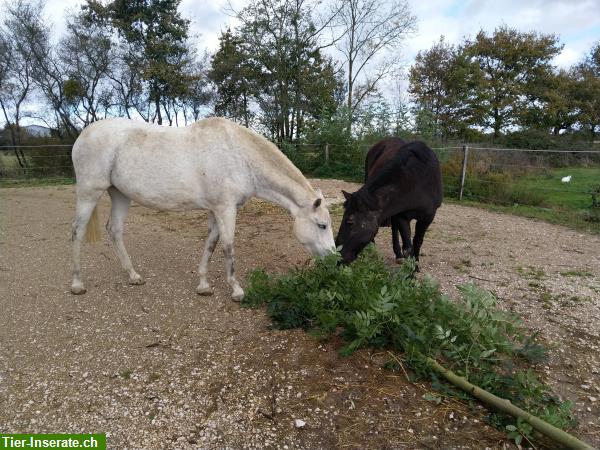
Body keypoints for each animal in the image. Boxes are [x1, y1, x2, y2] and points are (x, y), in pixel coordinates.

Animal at [70, 118, 338, 300]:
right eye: (322, 225)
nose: (334, 260)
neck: (240, 156)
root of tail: (84, 134)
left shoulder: (216, 210)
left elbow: (211, 244)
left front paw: (203, 285)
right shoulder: (226, 209)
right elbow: (228, 247)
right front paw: (237, 290)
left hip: (120, 195)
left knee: (114, 230)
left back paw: (133, 276)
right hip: (89, 192)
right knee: (77, 232)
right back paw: (77, 284)